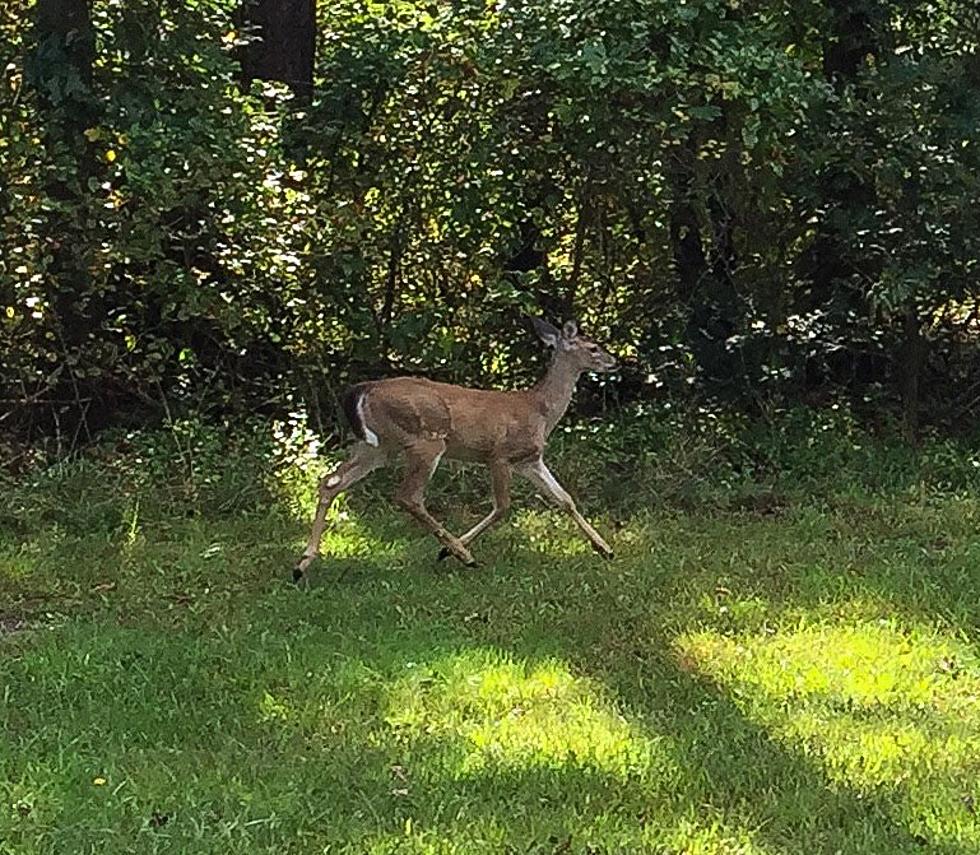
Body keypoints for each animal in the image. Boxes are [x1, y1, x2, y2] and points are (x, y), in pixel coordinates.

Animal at [290, 318, 616, 584]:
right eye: (594, 347)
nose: (615, 362)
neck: (540, 410)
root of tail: (362, 390)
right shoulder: (499, 454)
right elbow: (503, 506)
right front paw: (448, 552)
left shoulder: (530, 459)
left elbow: (565, 499)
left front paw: (605, 549)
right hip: (426, 440)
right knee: (408, 496)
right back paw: (461, 554)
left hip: (378, 447)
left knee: (330, 481)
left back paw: (301, 565)